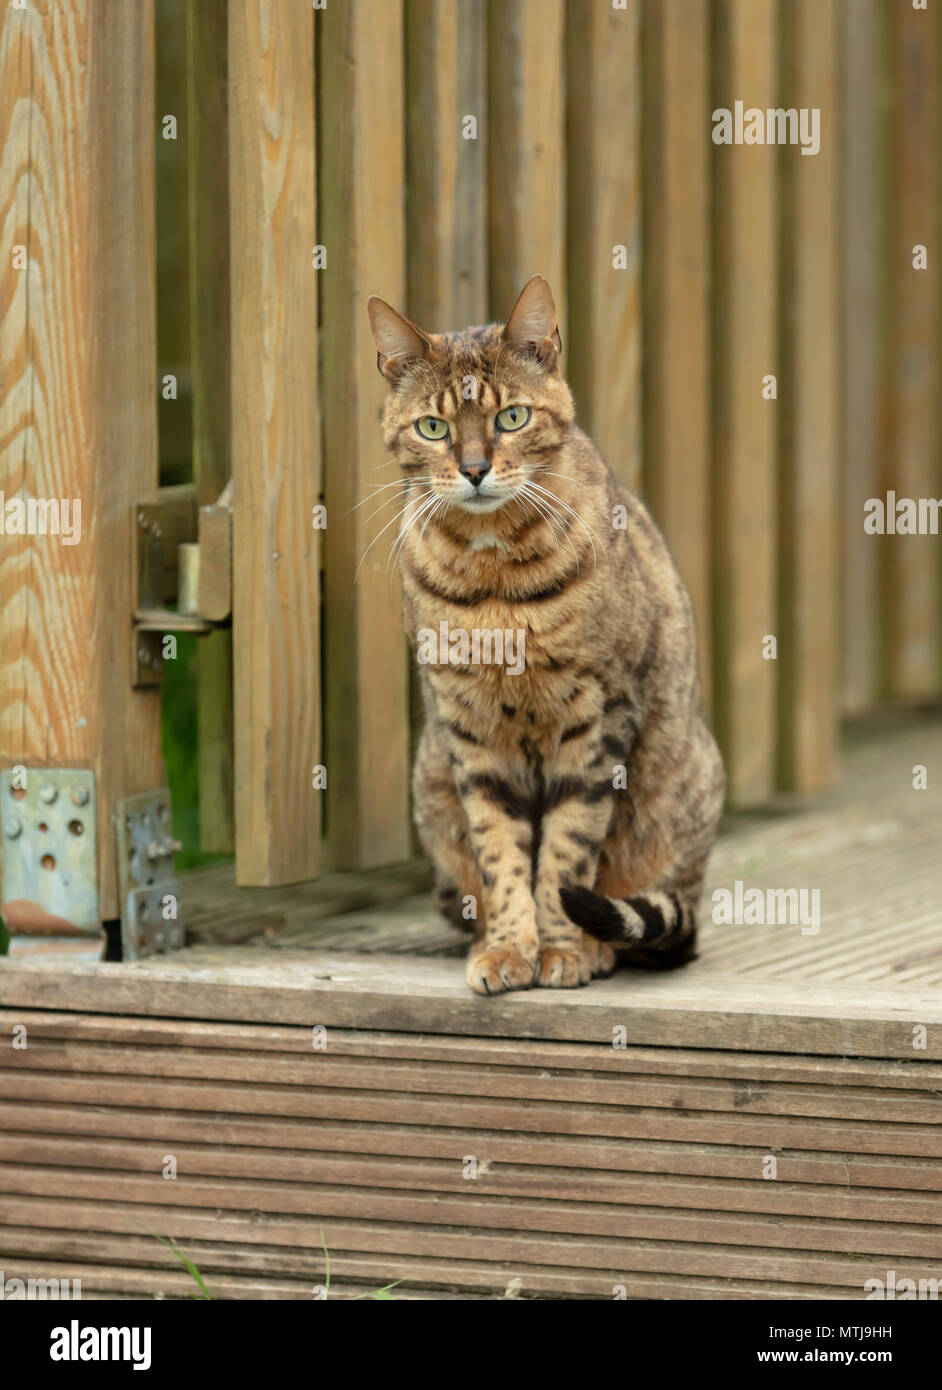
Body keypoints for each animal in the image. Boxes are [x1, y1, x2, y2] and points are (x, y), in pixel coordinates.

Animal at [366, 273, 722, 989]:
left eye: (512, 417)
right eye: (433, 427)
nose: (475, 468)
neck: (494, 581)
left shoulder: (598, 718)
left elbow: (567, 849)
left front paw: (561, 949)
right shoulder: (470, 731)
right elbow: (501, 850)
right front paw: (509, 948)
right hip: (434, 790)